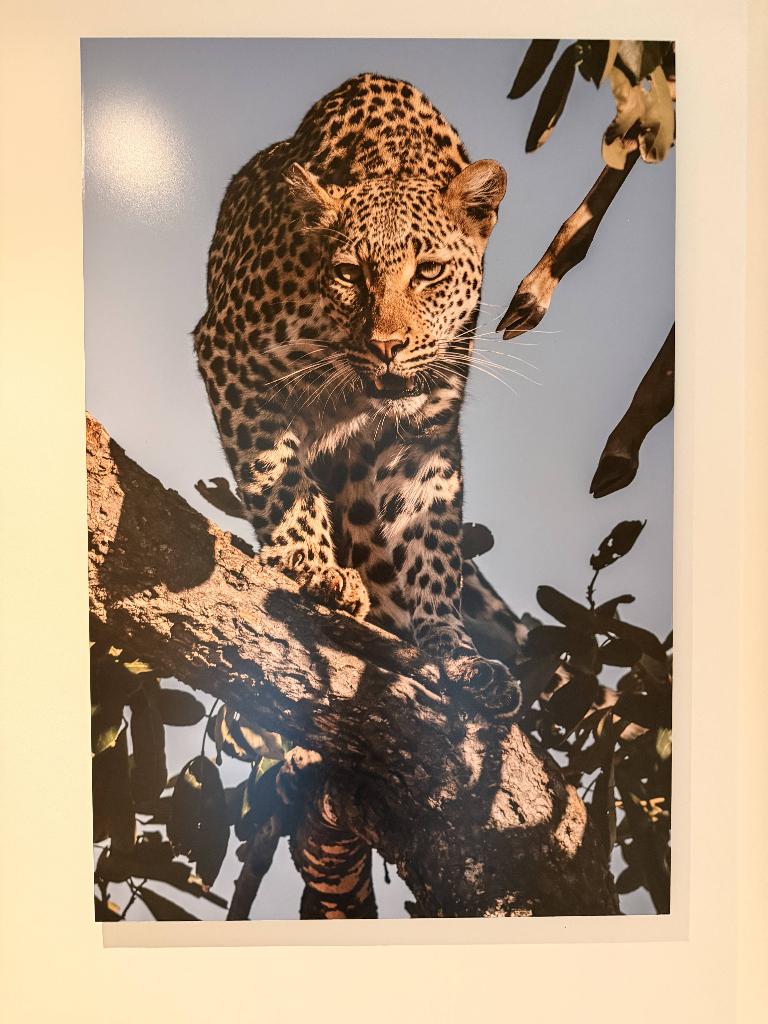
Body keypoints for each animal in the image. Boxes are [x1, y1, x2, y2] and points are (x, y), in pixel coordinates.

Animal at [194, 72, 521, 716]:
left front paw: (456, 651)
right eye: (349, 273)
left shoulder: (424, 434)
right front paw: (311, 563)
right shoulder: (231, 358)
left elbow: (434, 547)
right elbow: (277, 474)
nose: (388, 345)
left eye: (428, 272)